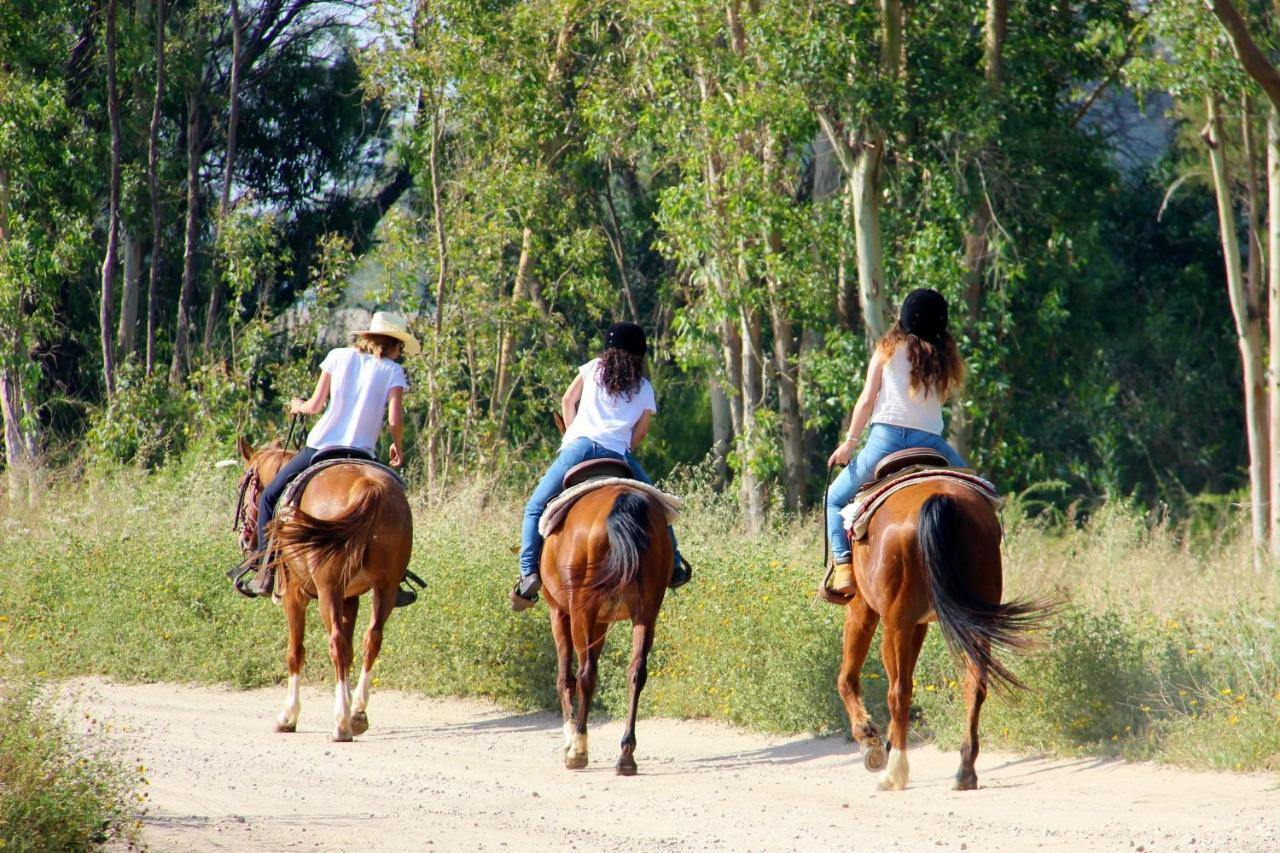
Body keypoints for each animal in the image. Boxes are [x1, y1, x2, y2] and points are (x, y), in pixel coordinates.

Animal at [231, 438, 409, 737]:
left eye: (243, 485)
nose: (244, 539)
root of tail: (369, 486)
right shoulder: (350, 598)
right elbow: (350, 650)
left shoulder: (294, 595)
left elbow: (295, 652)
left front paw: (288, 716)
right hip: (385, 587)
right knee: (371, 639)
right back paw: (357, 713)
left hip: (328, 589)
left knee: (336, 642)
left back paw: (341, 724)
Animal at [540, 484, 675, 768]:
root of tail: (621, 501)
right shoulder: (601, 621)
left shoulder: (559, 612)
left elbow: (564, 677)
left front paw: (569, 736)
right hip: (646, 610)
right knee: (636, 671)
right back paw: (626, 754)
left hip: (581, 610)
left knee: (586, 673)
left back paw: (578, 748)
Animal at [839, 473, 1049, 788]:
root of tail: (941, 501)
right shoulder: (919, 623)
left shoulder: (863, 608)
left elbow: (847, 678)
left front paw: (869, 739)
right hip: (974, 618)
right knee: (975, 684)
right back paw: (965, 770)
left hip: (895, 623)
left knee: (899, 690)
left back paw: (896, 772)